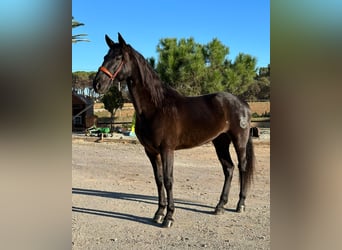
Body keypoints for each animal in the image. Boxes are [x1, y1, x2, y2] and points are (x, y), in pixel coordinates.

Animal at [93, 33, 254, 229]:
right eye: (105, 56)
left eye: (118, 58)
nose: (97, 84)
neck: (156, 107)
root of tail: (243, 103)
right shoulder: (151, 151)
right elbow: (159, 180)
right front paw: (158, 213)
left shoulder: (167, 149)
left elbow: (169, 180)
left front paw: (169, 217)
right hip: (220, 142)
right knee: (229, 169)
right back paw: (220, 206)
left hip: (239, 141)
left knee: (242, 167)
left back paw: (241, 204)